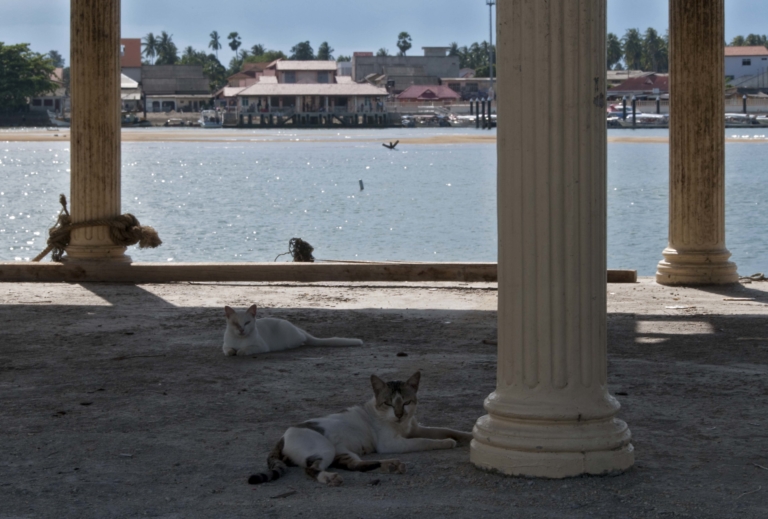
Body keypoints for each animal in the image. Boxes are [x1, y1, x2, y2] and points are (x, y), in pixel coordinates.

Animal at [222, 305, 363, 356]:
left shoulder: (260, 347)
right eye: (235, 323)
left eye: (247, 323)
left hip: (290, 339)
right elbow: (228, 350)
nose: (241, 329)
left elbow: (243, 350)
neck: (239, 340)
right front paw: (232, 351)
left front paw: (239, 351)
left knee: (302, 340)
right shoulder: (225, 346)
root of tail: (296, 327)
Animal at [248, 371, 473, 486]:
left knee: (354, 465)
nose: (399, 414)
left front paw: (470, 435)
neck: (402, 425)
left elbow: (445, 429)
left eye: (407, 402)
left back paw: (391, 466)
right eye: (388, 403)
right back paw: (329, 477)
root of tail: (281, 437)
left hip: (343, 452)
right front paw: (447, 443)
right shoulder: (391, 443)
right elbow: (425, 442)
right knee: (311, 469)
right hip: (326, 449)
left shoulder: (415, 428)